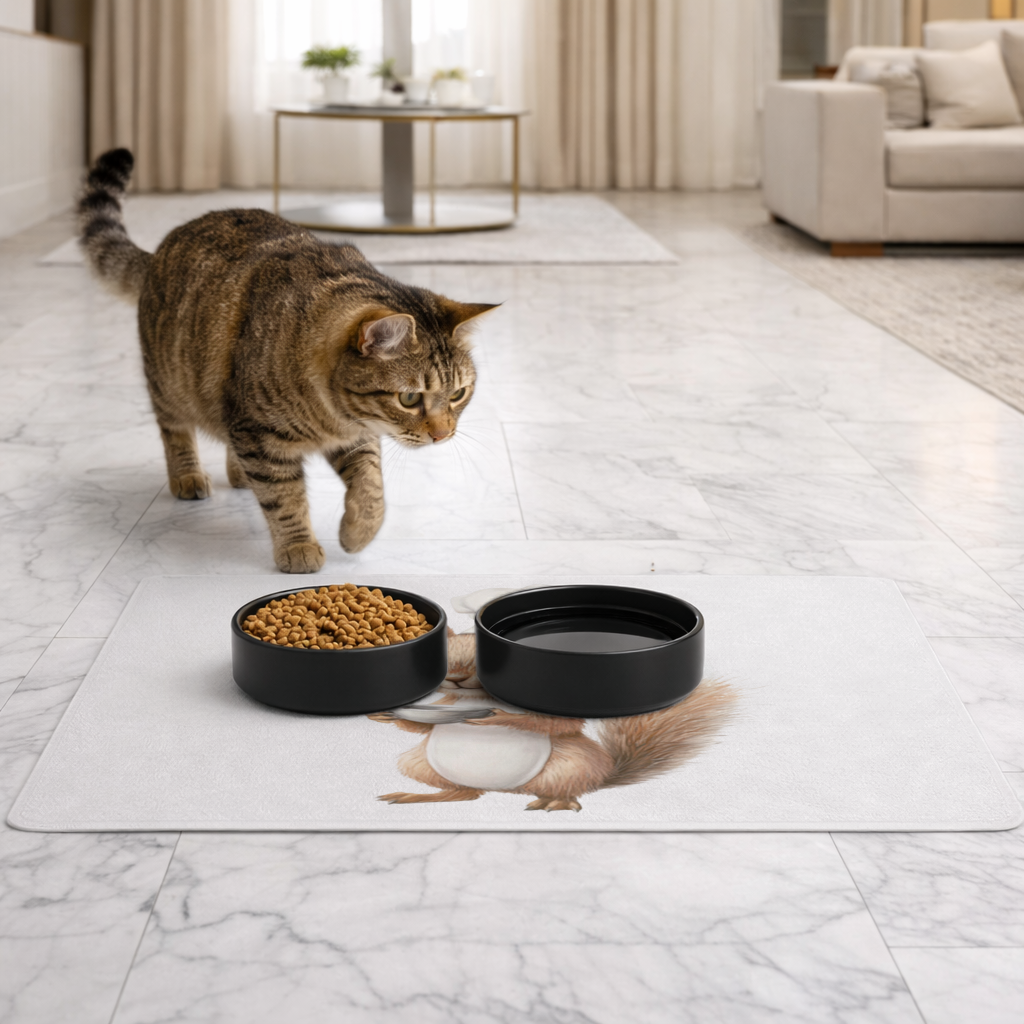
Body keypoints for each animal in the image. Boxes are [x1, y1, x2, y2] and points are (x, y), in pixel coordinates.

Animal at [369, 629, 736, 812]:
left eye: (477, 656)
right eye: (449, 651)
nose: (456, 678)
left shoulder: (554, 719)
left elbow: (552, 724)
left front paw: (496, 717)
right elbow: (425, 724)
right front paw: (385, 713)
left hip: (571, 764)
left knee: (566, 789)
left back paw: (556, 802)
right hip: (419, 763)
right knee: (465, 795)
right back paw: (415, 797)